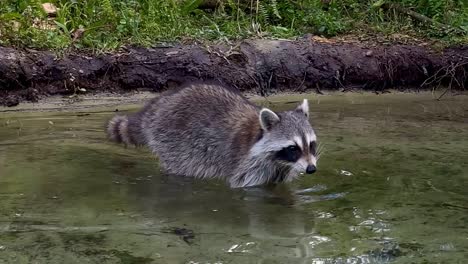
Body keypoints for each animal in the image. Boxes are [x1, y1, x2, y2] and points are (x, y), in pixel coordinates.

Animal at [106, 82, 318, 188]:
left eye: (311, 144)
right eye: (293, 148)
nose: (311, 169)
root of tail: (159, 105)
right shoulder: (246, 166)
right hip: (173, 141)